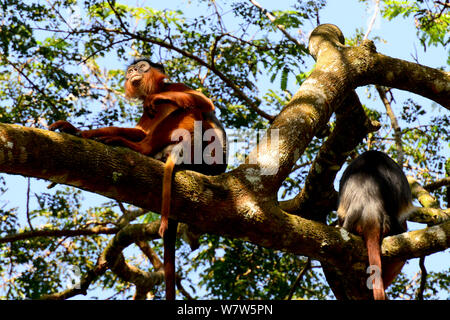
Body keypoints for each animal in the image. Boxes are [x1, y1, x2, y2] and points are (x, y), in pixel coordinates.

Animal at [49, 58, 229, 300]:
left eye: (142, 66)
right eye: (131, 70)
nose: (133, 71)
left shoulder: (175, 88)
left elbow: (206, 103)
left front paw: (155, 99)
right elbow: (140, 130)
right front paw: (79, 131)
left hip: (203, 153)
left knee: (193, 110)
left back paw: (139, 148)